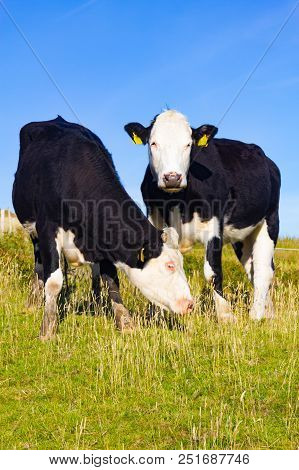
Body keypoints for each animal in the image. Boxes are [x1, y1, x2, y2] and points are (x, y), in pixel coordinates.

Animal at [12, 115, 193, 340]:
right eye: (169, 265)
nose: (190, 304)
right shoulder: (47, 230)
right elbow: (53, 282)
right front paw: (48, 329)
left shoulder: (104, 240)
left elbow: (112, 281)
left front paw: (125, 323)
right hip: (33, 232)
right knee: (39, 264)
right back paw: (33, 301)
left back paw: (96, 303)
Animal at [124, 110, 282, 324]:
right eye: (153, 143)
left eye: (188, 144)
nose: (172, 177)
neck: (176, 201)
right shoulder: (154, 220)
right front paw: (155, 315)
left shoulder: (214, 227)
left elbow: (212, 272)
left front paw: (225, 316)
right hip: (244, 237)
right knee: (253, 268)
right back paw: (269, 312)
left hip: (270, 220)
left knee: (263, 271)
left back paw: (256, 315)